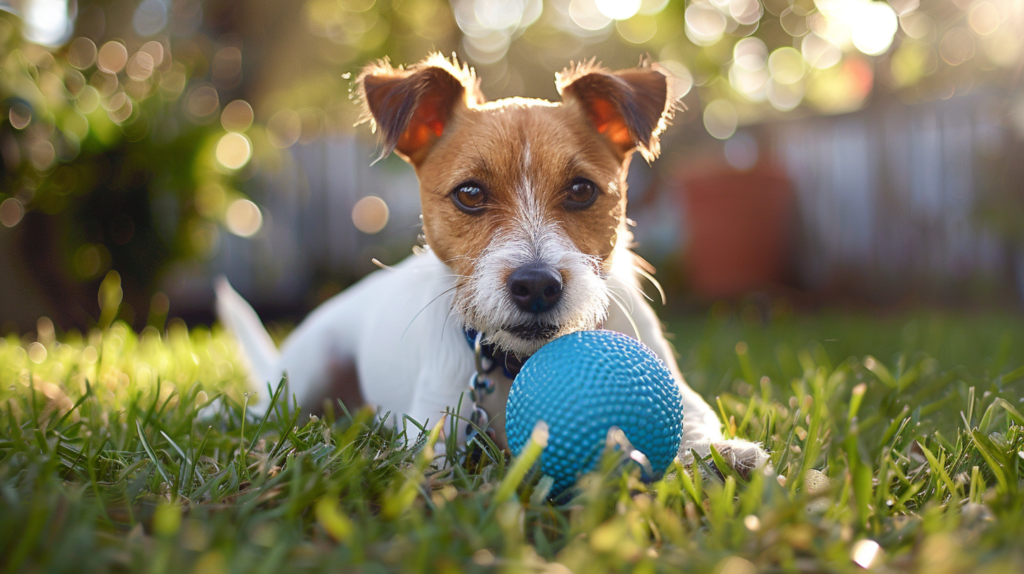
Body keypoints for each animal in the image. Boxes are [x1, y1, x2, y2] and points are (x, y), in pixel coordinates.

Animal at [214, 54, 770, 474]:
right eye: (470, 194)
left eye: (582, 190)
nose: (537, 285)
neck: (516, 362)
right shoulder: (433, 427)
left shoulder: (686, 397)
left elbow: (695, 427)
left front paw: (726, 456)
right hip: (303, 377)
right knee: (263, 410)